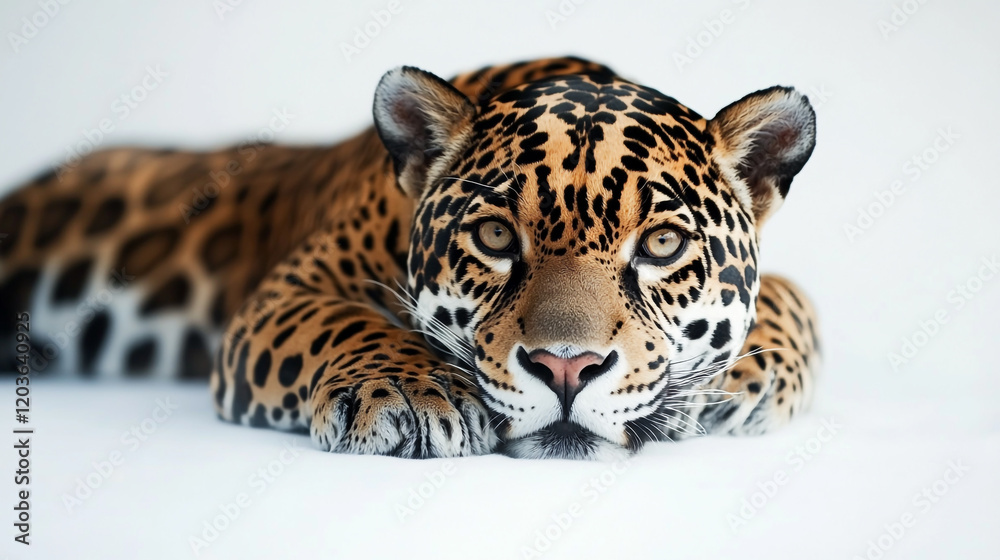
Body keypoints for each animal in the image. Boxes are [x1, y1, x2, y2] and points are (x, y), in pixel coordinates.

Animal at [0, 56, 820, 460]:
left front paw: (744, 380)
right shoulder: (286, 294)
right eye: (496, 238)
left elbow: (794, 298)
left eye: (661, 245)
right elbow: (342, 324)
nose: (565, 369)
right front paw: (409, 394)